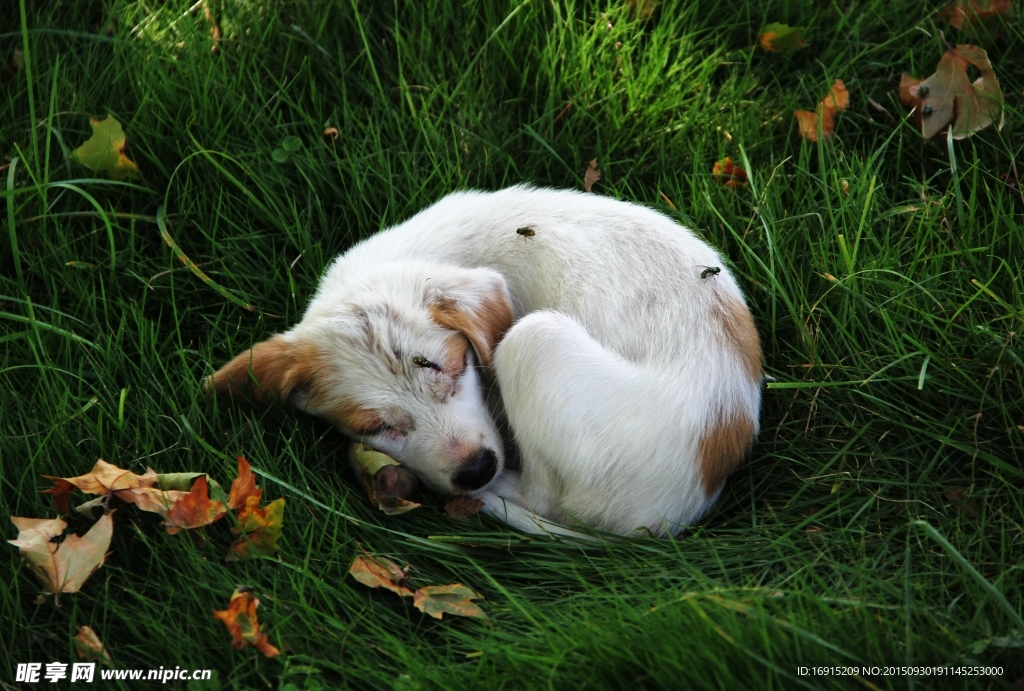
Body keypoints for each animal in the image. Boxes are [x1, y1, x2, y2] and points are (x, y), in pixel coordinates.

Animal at [207, 186, 761, 536]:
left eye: (457, 368)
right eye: (378, 426)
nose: (477, 470)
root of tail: (679, 508)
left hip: (534, 337)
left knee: (542, 498)